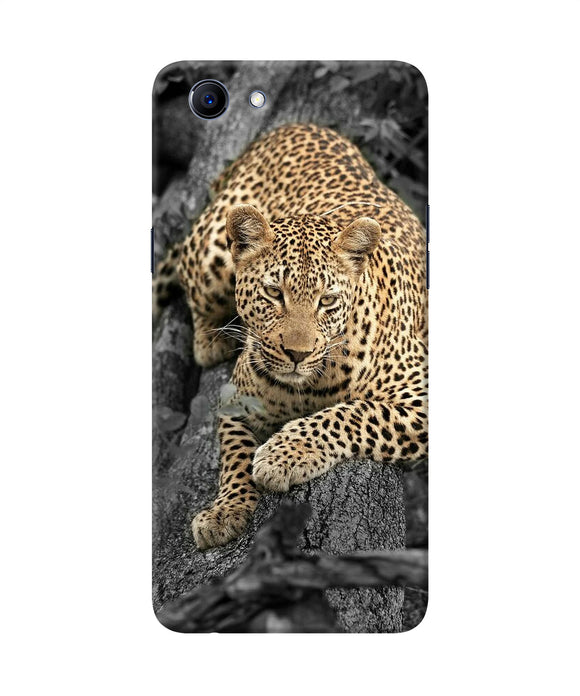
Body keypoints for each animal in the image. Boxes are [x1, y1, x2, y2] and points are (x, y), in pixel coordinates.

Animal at [154, 123, 428, 550]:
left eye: (327, 300)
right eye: (273, 293)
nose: (297, 354)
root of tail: (294, 126)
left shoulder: (421, 395)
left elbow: (354, 413)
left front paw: (283, 455)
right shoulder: (235, 400)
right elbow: (234, 455)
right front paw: (225, 511)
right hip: (211, 251)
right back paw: (211, 340)